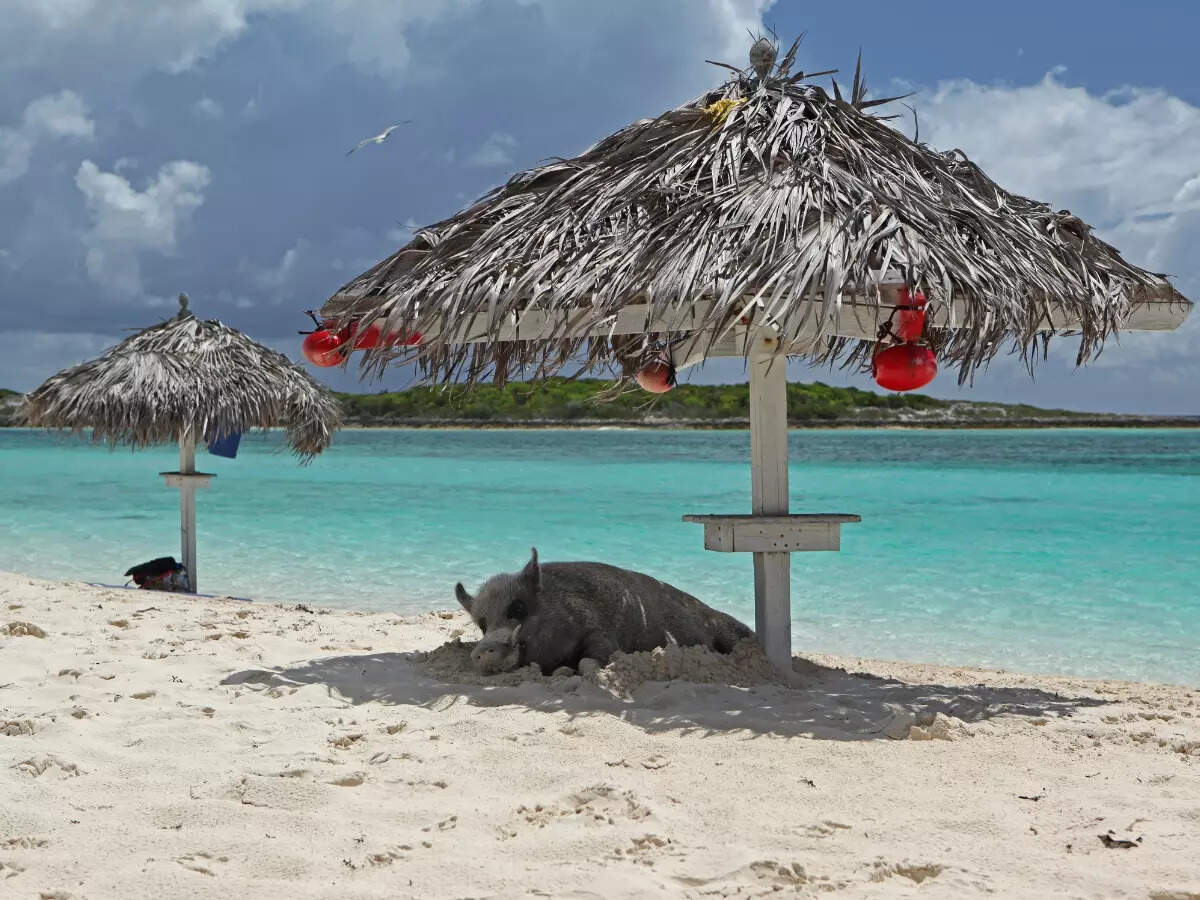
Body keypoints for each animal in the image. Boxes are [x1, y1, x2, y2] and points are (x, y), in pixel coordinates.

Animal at [454, 548, 753, 675]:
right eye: (483, 625)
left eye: (518, 607)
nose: (481, 650)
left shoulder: (601, 633)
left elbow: (589, 662)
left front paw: (568, 673)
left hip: (729, 629)